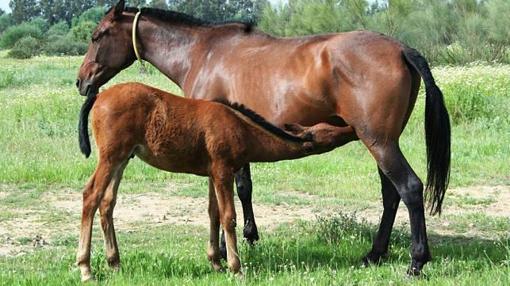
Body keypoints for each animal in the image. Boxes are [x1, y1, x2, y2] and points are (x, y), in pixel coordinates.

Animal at [76, 82, 354, 282]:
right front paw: (236, 267)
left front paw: (215, 262)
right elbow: (229, 216)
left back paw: (114, 263)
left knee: (107, 203)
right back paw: (85, 268)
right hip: (111, 157)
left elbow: (213, 214)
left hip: (123, 159)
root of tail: (99, 96)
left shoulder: (212, 173)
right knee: (91, 196)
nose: (351, 128)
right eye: (329, 131)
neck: (241, 127)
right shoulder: (223, 170)